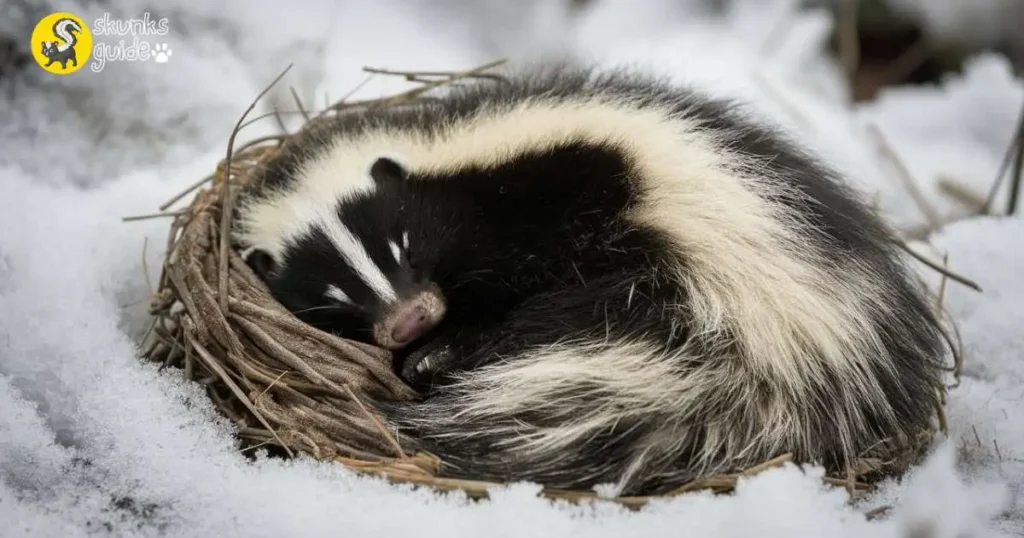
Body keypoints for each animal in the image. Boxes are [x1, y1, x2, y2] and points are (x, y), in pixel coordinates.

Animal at [234, 64, 950, 495]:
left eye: (405, 248)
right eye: (333, 302)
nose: (411, 319)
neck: (453, 170)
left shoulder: (552, 202)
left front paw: (438, 352)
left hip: (691, 279)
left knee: (566, 317)